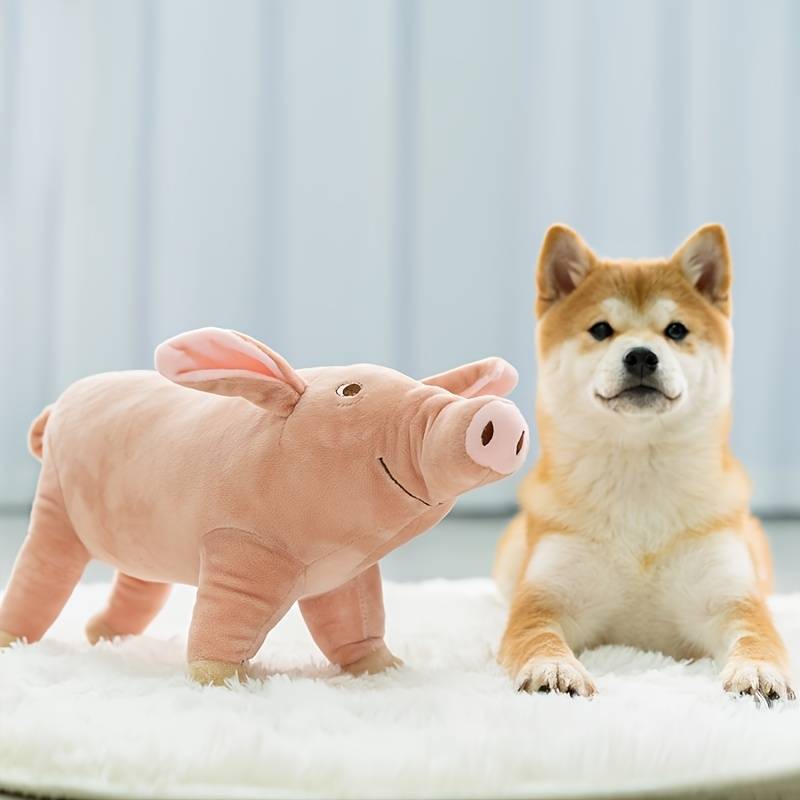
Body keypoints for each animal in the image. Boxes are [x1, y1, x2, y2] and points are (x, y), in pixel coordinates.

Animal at [494, 223, 792, 700]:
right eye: (600, 329)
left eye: (676, 330)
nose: (640, 355)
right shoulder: (546, 598)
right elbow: (536, 636)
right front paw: (552, 668)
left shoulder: (732, 600)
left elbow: (757, 637)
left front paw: (759, 672)